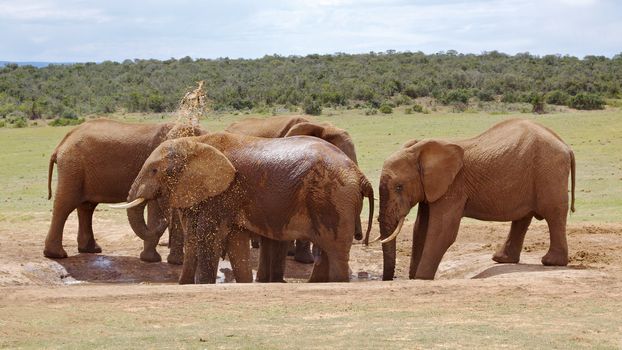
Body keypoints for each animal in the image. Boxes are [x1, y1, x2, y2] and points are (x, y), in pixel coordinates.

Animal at [44, 119, 205, 264]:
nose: (165, 223)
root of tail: (62, 142)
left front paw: (176, 261)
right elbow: (156, 207)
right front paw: (154, 260)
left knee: (87, 207)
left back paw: (90, 250)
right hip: (72, 166)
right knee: (65, 205)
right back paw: (57, 255)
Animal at [114, 133, 372, 284]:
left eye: (154, 170)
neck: (196, 144)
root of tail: (360, 176)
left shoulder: (223, 192)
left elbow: (210, 237)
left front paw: (204, 284)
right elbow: (235, 242)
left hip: (334, 198)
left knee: (336, 251)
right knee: (326, 252)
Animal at [372, 119, 576, 280]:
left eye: (399, 187)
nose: (388, 279)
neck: (421, 150)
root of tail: (565, 145)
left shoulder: (454, 186)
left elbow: (441, 230)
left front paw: (421, 278)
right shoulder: (431, 188)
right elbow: (421, 228)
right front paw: (414, 277)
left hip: (549, 172)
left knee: (554, 213)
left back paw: (551, 262)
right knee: (523, 218)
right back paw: (501, 259)